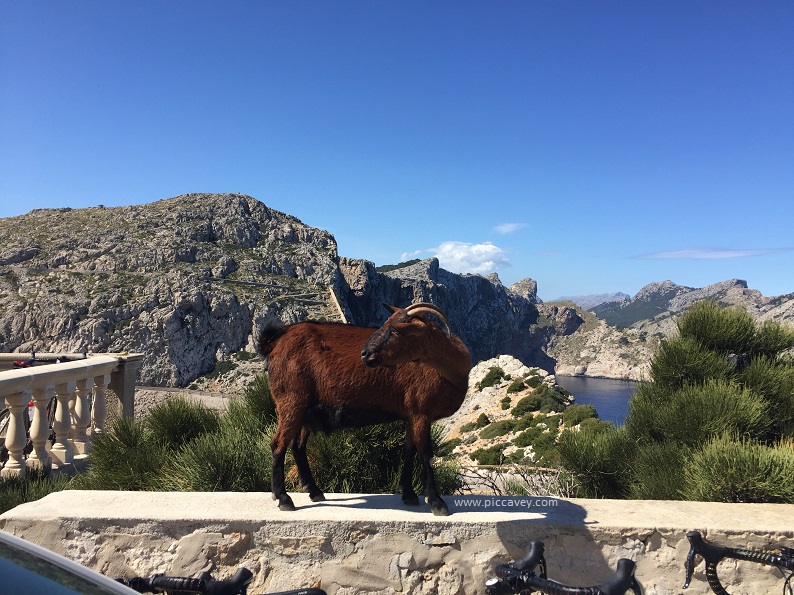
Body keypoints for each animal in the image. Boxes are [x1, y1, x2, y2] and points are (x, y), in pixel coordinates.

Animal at [256, 302, 470, 516]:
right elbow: (426, 455)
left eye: (396, 330)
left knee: (298, 446)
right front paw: (437, 502)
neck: (450, 370)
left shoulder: (412, 415)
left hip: (306, 411)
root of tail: (275, 342)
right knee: (278, 444)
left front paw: (409, 495)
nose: (365, 353)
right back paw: (284, 498)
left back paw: (314, 491)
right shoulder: (421, 413)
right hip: (291, 402)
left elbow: (409, 452)